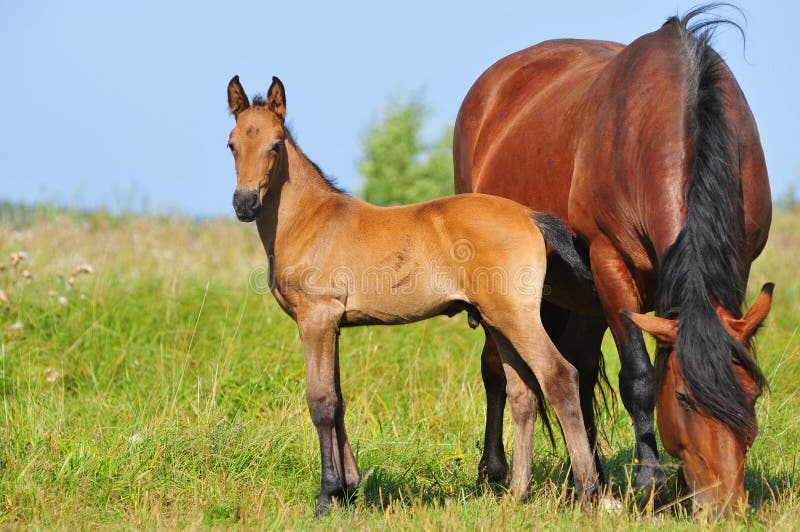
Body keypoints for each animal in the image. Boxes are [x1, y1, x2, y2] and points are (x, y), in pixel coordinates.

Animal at [226, 75, 600, 515]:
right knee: (523, 392)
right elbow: (339, 401)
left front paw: (327, 496)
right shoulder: (334, 325)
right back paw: (517, 494)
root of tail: (529, 215)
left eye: (276, 144)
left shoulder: (316, 318)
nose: (245, 204)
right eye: (231, 143)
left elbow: (321, 402)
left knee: (559, 376)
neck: (310, 220)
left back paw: (589, 492)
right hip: (498, 320)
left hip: (517, 317)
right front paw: (349, 489)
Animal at [453, 7, 773, 514]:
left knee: (578, 371)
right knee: (495, 367)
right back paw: (495, 471)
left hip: (580, 299)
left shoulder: (735, 263)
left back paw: (588, 479)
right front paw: (651, 481)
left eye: (753, 393)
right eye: (683, 399)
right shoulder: (610, 262)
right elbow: (638, 377)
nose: (724, 505)